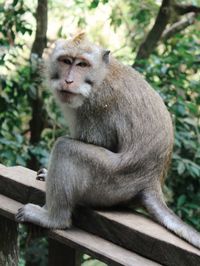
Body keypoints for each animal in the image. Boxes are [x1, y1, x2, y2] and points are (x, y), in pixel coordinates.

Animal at [15, 32, 200, 249]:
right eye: (66, 61)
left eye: (82, 64)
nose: (68, 80)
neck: (99, 77)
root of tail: (151, 181)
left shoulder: (96, 106)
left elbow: (100, 143)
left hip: (110, 185)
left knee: (65, 148)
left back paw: (53, 219)